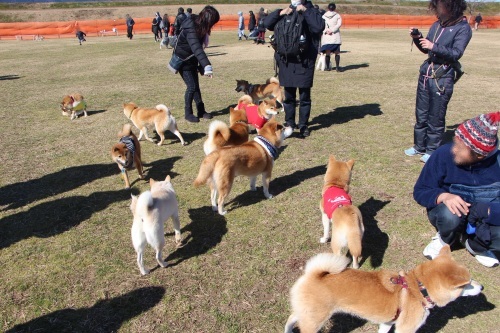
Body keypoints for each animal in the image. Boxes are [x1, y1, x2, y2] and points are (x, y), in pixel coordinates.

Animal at [286, 245, 484, 332]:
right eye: (467, 283)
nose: (482, 286)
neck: (420, 288)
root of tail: (314, 274)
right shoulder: (406, 329)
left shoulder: (387, 323)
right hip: (315, 320)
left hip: (308, 313)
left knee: (291, 319)